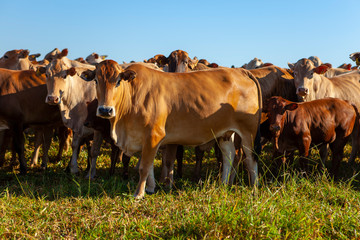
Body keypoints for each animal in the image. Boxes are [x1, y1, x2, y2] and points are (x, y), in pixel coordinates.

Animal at [81, 60, 262, 199]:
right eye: (96, 81)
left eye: (118, 81)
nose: (105, 110)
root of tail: (241, 70)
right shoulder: (146, 139)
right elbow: (150, 166)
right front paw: (150, 188)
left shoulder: (153, 135)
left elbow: (144, 167)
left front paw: (138, 194)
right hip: (224, 133)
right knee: (229, 156)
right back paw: (223, 184)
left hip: (248, 131)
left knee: (250, 159)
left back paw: (254, 188)